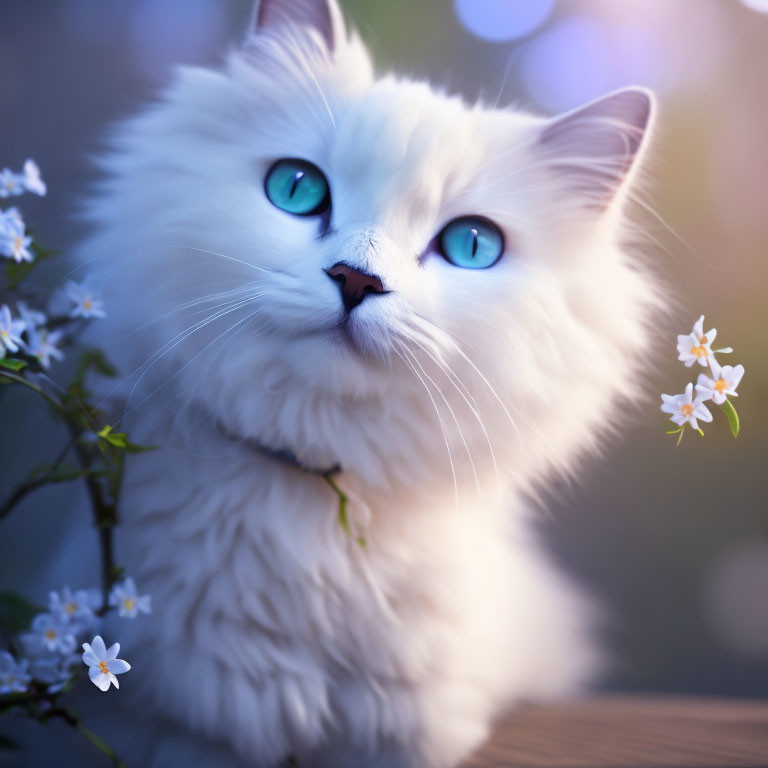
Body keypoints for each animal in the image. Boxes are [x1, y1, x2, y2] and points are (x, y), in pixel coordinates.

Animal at [73, 1, 660, 768]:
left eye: (472, 245)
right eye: (297, 188)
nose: (356, 279)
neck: (315, 518)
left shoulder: (407, 734)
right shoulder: (183, 731)